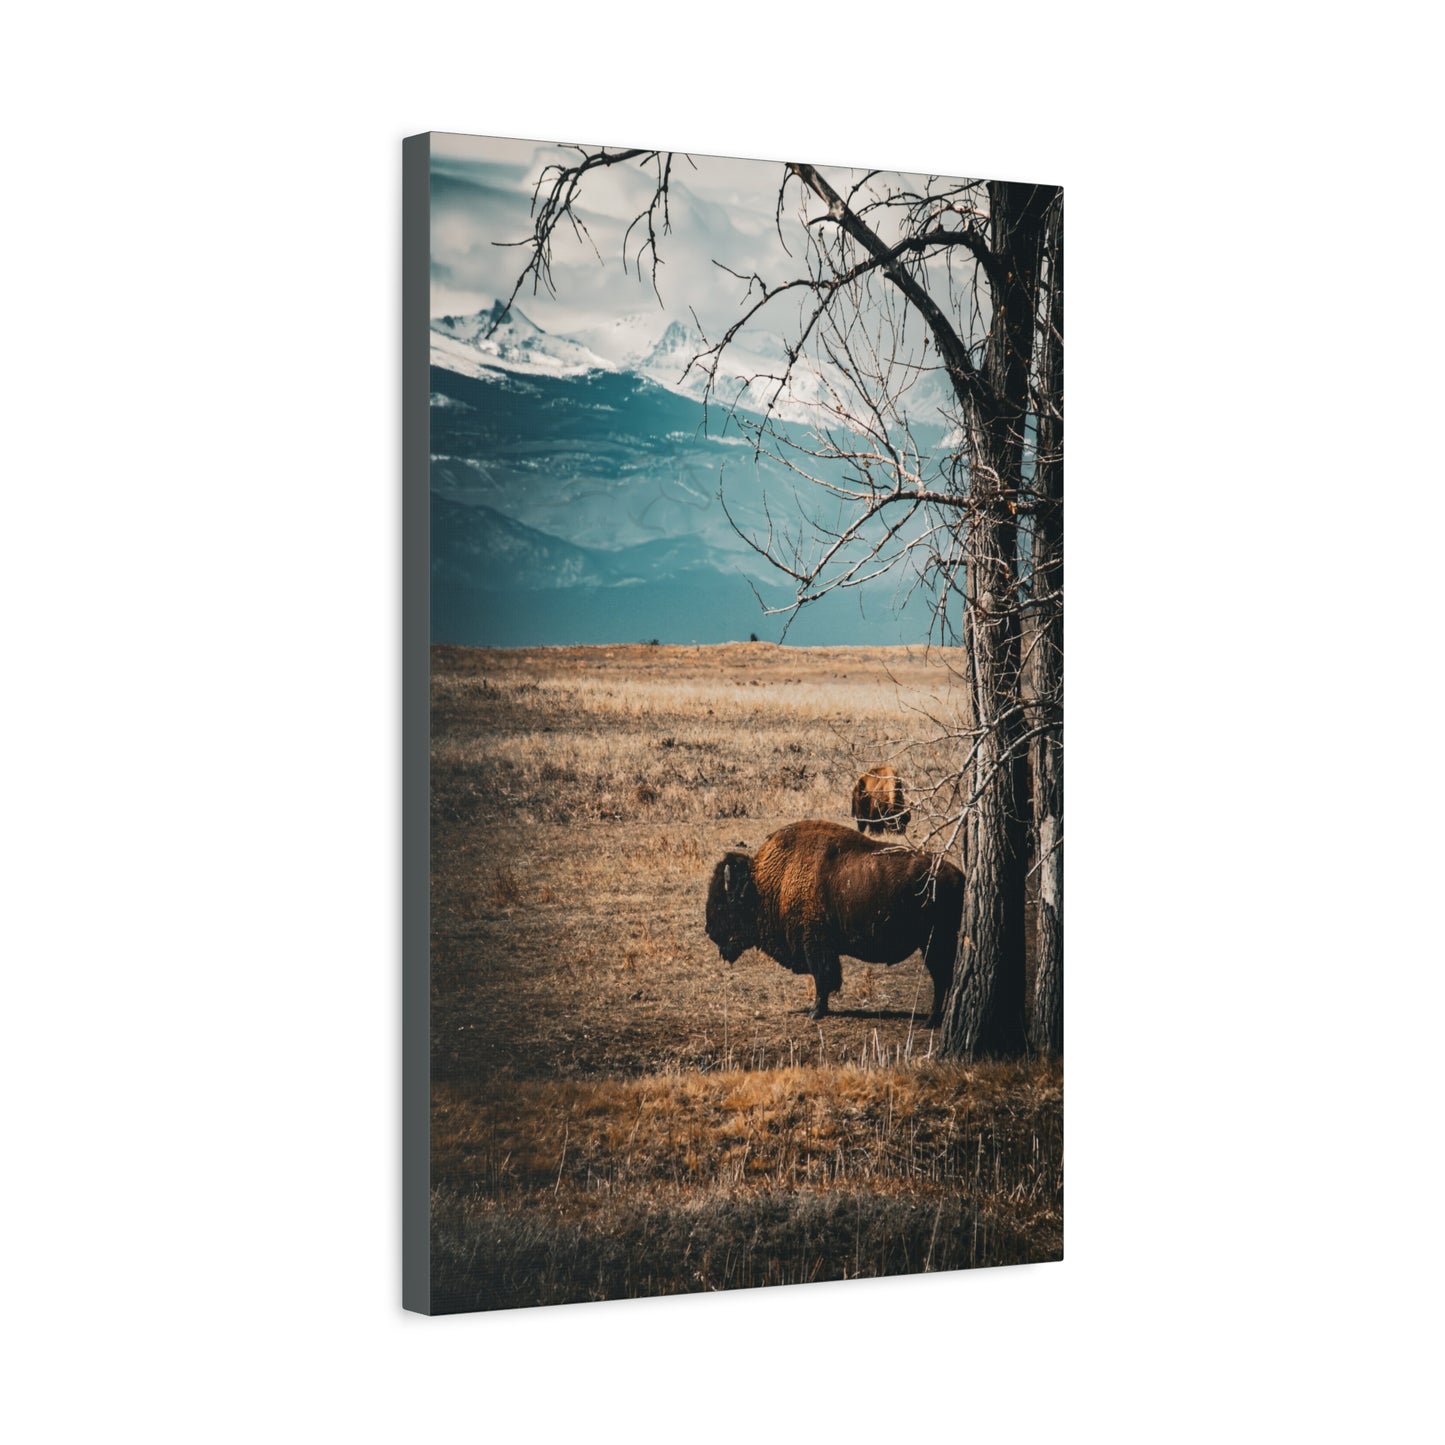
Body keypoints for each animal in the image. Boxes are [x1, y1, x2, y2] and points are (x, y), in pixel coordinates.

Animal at [705, 819, 963, 1027]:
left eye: (722, 903)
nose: (710, 931)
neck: (768, 882)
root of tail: (957, 875)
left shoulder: (816, 945)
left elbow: (823, 978)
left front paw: (816, 1012)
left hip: (932, 944)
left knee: (941, 978)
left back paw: (930, 1021)